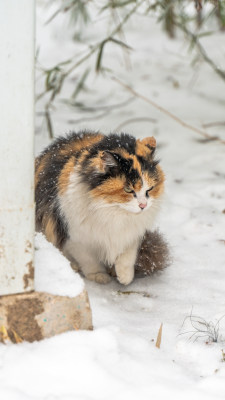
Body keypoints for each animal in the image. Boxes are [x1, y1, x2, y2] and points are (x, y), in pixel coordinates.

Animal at [35, 131, 165, 284]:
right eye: (128, 189)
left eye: (150, 189)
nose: (143, 205)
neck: (111, 211)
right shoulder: (76, 238)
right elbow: (89, 260)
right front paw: (98, 275)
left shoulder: (132, 234)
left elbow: (127, 256)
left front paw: (124, 277)